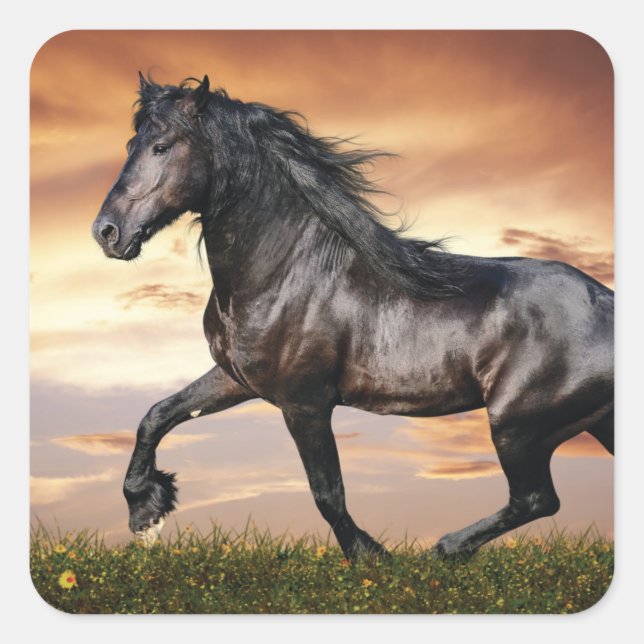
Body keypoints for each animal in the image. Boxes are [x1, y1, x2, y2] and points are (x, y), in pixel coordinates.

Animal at [92, 74, 614, 559]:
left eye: (162, 146)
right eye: (131, 145)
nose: (107, 232)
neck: (285, 271)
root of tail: (604, 301)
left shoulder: (305, 403)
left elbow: (327, 493)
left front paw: (369, 556)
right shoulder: (236, 378)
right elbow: (156, 416)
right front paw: (146, 511)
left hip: (517, 426)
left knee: (535, 499)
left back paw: (443, 551)